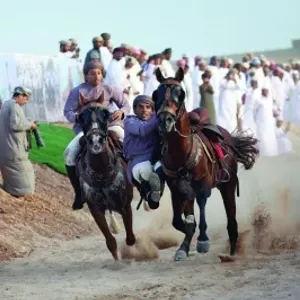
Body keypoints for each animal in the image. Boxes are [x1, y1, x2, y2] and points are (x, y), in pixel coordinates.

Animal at [154, 67, 258, 262]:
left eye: (181, 93)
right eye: (156, 93)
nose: (166, 121)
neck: (182, 152)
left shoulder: (204, 182)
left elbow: (201, 204)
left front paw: (202, 240)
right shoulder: (176, 187)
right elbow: (179, 221)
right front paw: (184, 245)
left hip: (228, 184)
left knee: (231, 218)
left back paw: (232, 251)